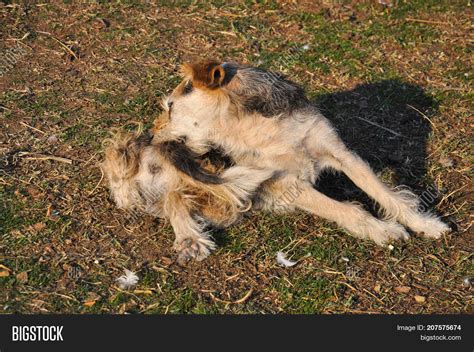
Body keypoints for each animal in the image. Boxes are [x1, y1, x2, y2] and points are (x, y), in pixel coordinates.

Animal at [157, 58, 450, 258]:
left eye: (170, 107)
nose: (152, 135)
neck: (257, 125)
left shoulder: (341, 154)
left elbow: (388, 195)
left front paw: (425, 224)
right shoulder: (287, 183)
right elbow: (347, 210)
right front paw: (384, 231)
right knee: (173, 197)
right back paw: (190, 239)